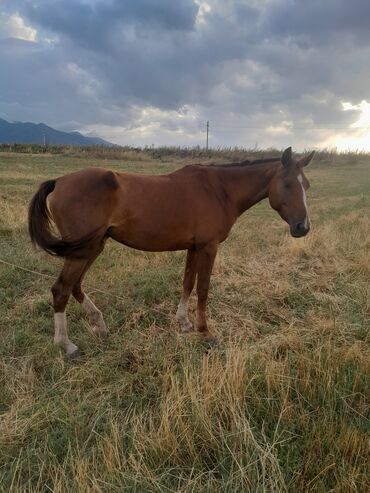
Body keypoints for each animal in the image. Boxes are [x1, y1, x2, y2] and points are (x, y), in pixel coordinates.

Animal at [27, 144, 314, 356]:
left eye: (307, 186)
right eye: (288, 184)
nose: (303, 227)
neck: (220, 190)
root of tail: (59, 181)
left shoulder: (194, 248)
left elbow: (187, 284)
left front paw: (184, 323)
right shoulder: (208, 248)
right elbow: (203, 289)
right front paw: (205, 331)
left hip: (92, 247)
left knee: (75, 286)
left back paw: (99, 325)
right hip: (82, 251)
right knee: (61, 290)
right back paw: (67, 345)